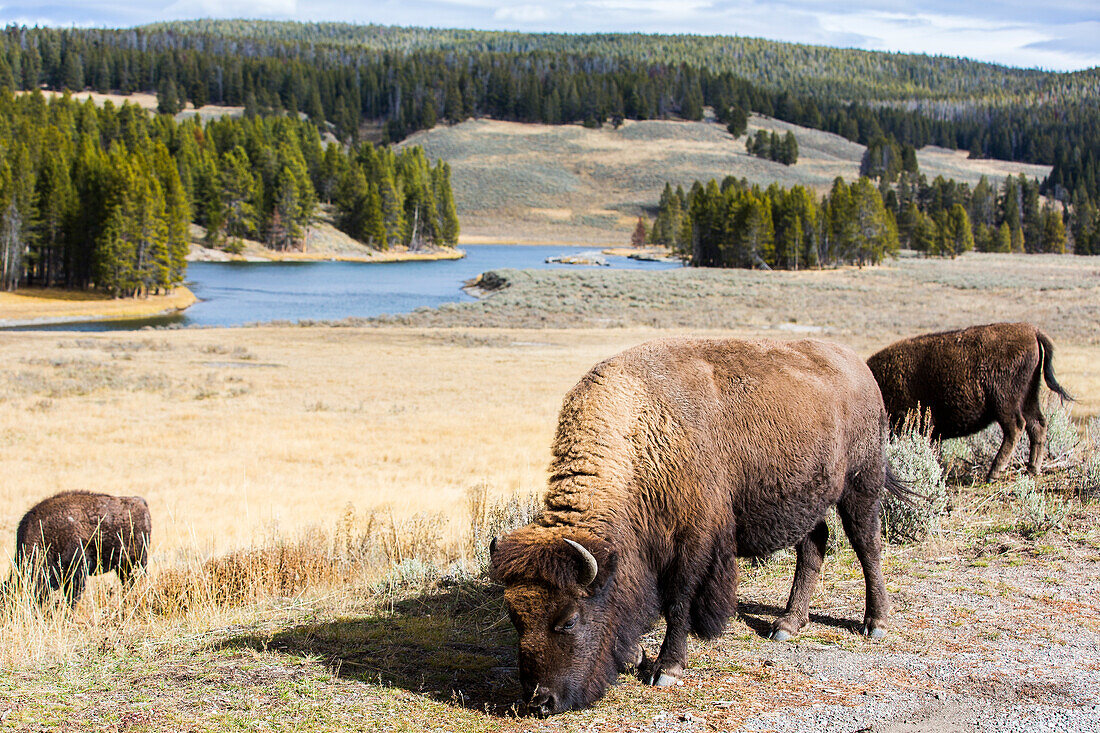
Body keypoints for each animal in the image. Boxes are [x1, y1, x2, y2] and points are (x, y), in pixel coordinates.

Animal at [495, 336, 906, 713]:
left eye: (569, 620)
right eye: (514, 618)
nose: (540, 701)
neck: (640, 433)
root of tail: (858, 365)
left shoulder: (692, 544)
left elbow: (679, 601)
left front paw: (666, 669)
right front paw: (637, 655)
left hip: (861, 484)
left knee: (867, 544)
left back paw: (875, 622)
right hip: (807, 498)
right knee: (814, 545)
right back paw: (787, 625)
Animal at [862, 321, 1069, 479]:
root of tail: (1031, 331)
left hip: (1006, 402)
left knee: (1016, 427)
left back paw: (993, 473)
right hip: (1029, 397)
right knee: (1037, 425)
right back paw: (1032, 469)